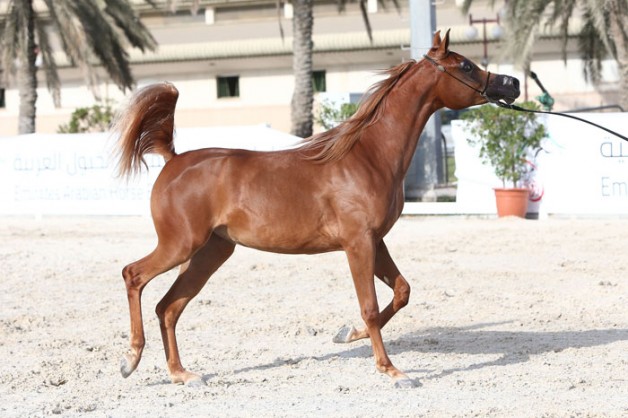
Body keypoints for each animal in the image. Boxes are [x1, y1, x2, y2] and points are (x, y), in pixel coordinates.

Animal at [113, 29, 520, 388]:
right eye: (465, 65)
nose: (512, 83)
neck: (368, 156)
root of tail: (174, 160)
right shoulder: (358, 243)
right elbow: (370, 306)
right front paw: (392, 371)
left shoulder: (376, 241)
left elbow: (401, 291)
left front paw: (346, 334)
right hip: (181, 245)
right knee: (134, 276)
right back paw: (131, 359)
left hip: (210, 252)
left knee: (168, 307)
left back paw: (182, 374)